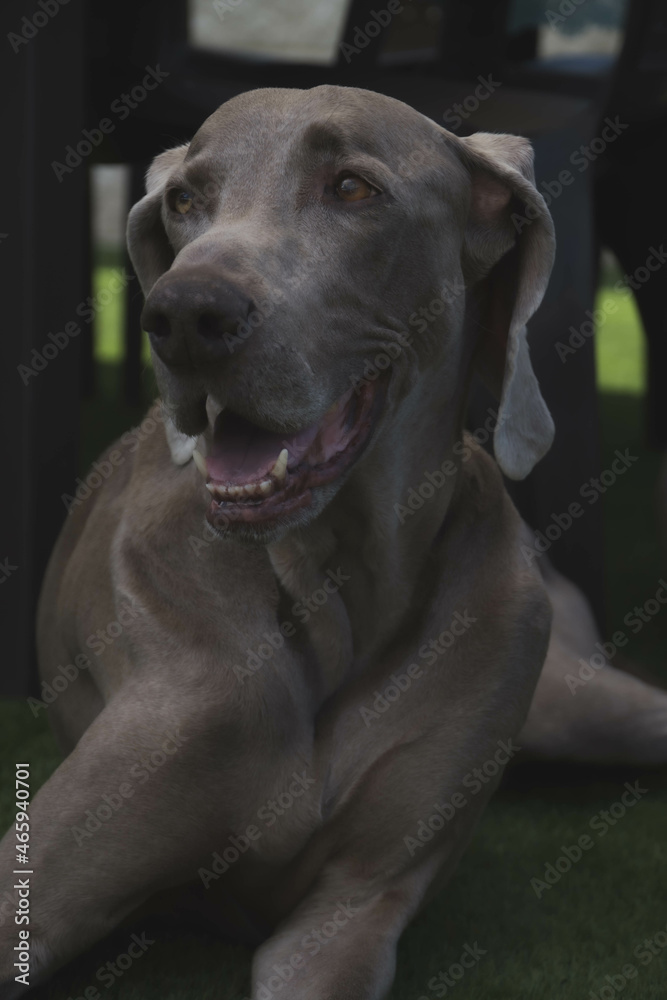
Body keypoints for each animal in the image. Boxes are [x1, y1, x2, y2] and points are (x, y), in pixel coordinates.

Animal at [2, 86, 664, 1000]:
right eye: (183, 201)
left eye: (352, 189)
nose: (183, 315)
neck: (335, 583)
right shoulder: (43, 880)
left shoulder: (353, 909)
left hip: (571, 697)